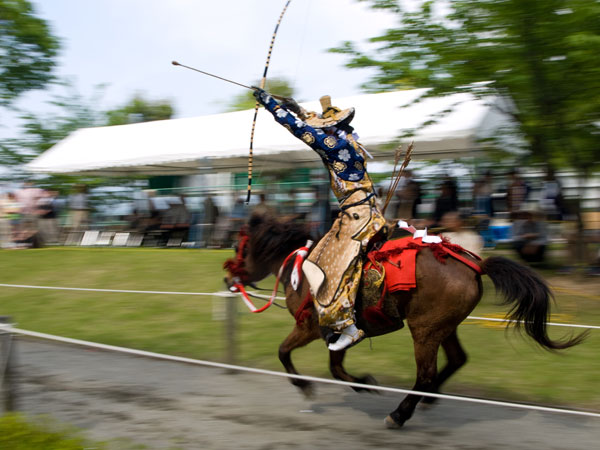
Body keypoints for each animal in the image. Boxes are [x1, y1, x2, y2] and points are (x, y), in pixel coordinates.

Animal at [224, 214, 584, 428]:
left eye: (238, 245)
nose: (228, 276)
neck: (305, 269)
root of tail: (475, 265)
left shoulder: (309, 327)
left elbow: (285, 353)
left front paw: (306, 387)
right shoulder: (339, 331)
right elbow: (335, 367)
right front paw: (363, 383)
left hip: (424, 329)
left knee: (425, 374)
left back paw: (400, 413)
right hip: (443, 326)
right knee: (455, 360)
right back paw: (428, 400)